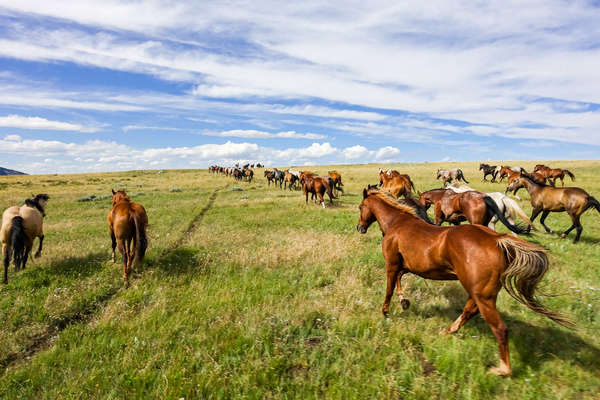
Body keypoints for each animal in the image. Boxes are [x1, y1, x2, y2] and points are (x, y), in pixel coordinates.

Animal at [356, 188, 572, 376]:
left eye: (360, 207)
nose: (360, 227)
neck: (398, 222)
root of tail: (499, 240)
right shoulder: (407, 266)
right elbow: (400, 280)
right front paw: (404, 302)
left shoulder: (391, 265)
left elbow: (389, 289)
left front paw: (385, 312)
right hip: (479, 291)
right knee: (470, 310)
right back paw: (448, 331)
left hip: (481, 295)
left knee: (499, 328)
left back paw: (502, 370)